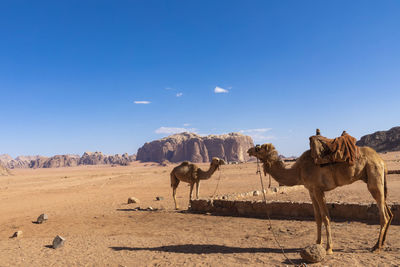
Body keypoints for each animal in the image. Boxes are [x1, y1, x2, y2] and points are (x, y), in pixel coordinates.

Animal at [247, 143, 394, 254]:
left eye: (258, 148)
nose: (249, 150)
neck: (298, 170)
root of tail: (381, 161)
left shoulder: (318, 189)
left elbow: (325, 216)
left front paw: (329, 248)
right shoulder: (311, 190)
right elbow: (317, 217)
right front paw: (317, 242)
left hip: (374, 178)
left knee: (384, 215)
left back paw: (376, 247)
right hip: (376, 180)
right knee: (389, 212)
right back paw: (381, 244)